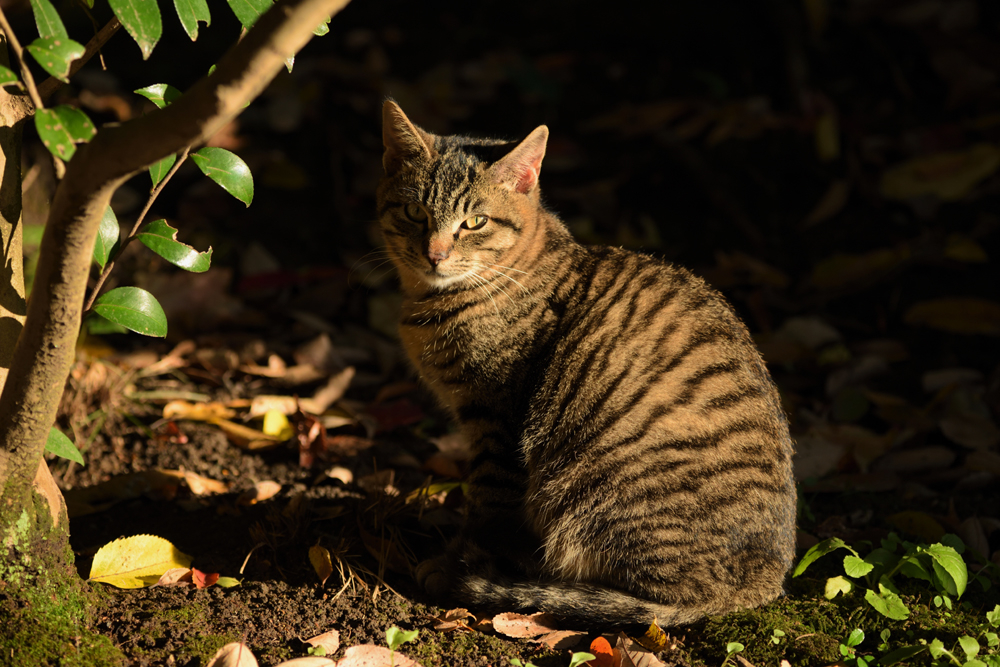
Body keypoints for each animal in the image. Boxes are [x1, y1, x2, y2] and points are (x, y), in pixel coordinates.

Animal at [376, 102, 796, 628]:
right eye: (415, 212)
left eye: (475, 222)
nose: (435, 253)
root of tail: (768, 580)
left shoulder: (496, 422)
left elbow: (488, 508)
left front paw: (456, 562)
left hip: (589, 489)